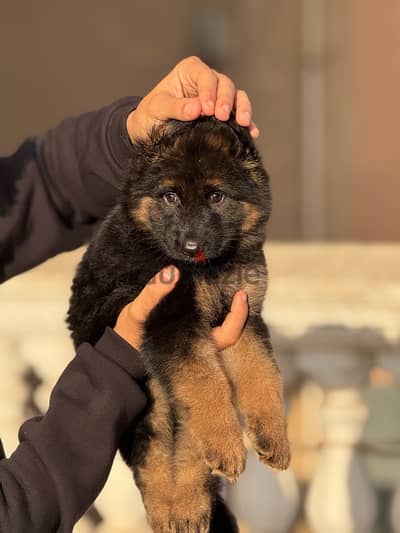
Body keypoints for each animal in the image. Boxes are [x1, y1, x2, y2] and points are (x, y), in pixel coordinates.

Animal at [66, 117, 290, 532]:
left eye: (216, 197)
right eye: (170, 197)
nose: (191, 247)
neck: (208, 270)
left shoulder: (245, 318)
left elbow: (264, 374)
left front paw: (273, 437)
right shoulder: (171, 324)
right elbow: (206, 384)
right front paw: (234, 442)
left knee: (188, 447)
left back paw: (191, 505)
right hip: (150, 402)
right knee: (154, 458)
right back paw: (175, 506)